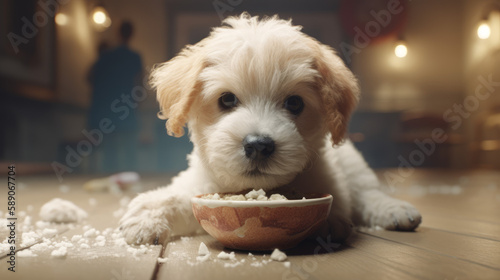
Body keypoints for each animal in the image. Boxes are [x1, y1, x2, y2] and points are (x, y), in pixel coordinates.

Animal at [120, 13, 422, 245]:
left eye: (294, 103)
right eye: (226, 100)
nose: (258, 145)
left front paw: (328, 224)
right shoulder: (200, 185)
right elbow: (177, 198)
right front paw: (146, 219)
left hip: (353, 164)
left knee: (367, 193)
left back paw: (396, 210)